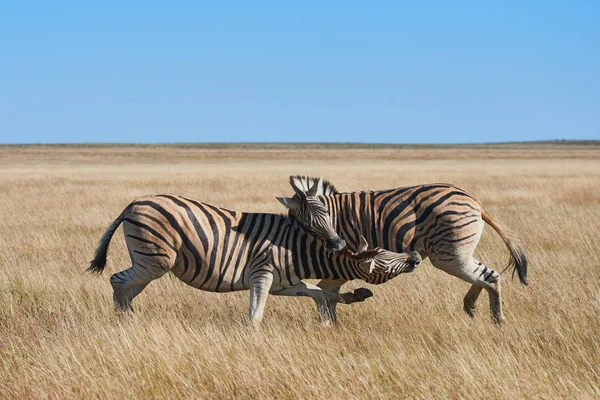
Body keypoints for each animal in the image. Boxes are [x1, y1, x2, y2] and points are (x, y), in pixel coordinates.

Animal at [88, 192, 422, 324]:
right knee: (117, 281)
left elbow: (316, 292)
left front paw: (330, 316)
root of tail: (134, 203)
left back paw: (130, 320)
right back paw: (123, 322)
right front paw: (254, 338)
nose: (416, 255)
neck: (296, 251)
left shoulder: (284, 285)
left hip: (148, 263)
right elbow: (256, 314)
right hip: (154, 260)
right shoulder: (262, 275)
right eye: (384, 260)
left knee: (127, 288)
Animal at [278, 177, 528, 324]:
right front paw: (332, 321)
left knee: (489, 276)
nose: (339, 246)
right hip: (456, 253)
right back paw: (471, 306)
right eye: (307, 225)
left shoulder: (344, 264)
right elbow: (326, 292)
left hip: (449, 254)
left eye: (326, 217)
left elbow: (326, 291)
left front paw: (330, 322)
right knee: (484, 275)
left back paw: (497, 320)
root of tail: (474, 200)